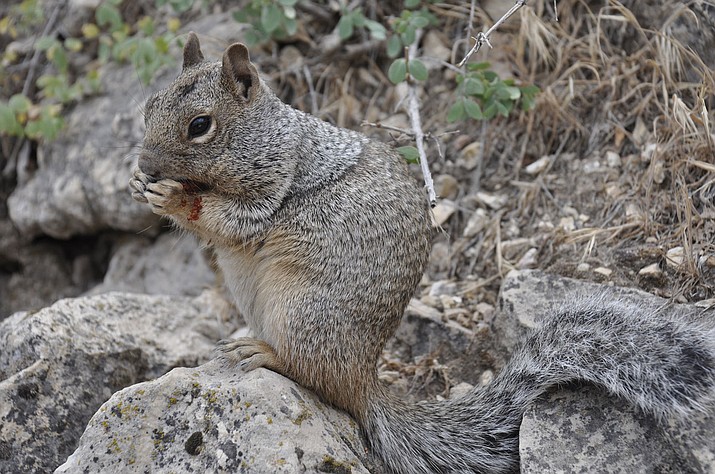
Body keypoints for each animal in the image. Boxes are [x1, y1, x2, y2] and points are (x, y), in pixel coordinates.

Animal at [130, 32, 715, 470]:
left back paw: (266, 353)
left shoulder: (272, 190)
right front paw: (142, 187)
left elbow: (233, 221)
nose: (146, 164)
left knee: (318, 377)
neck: (269, 138)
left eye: (200, 125)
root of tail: (366, 380)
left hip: (304, 314)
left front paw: (174, 197)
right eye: (149, 106)